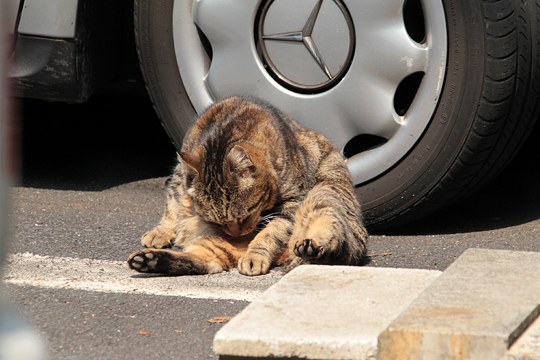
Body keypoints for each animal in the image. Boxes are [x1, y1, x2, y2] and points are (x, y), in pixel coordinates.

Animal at [126, 95, 368, 276]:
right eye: (217, 220)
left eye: (246, 213)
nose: (236, 234)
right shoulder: (180, 174)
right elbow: (173, 202)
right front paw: (161, 231)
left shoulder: (292, 203)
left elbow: (271, 233)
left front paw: (256, 255)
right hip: (213, 245)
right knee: (203, 261)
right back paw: (147, 260)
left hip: (323, 198)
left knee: (337, 245)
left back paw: (310, 247)